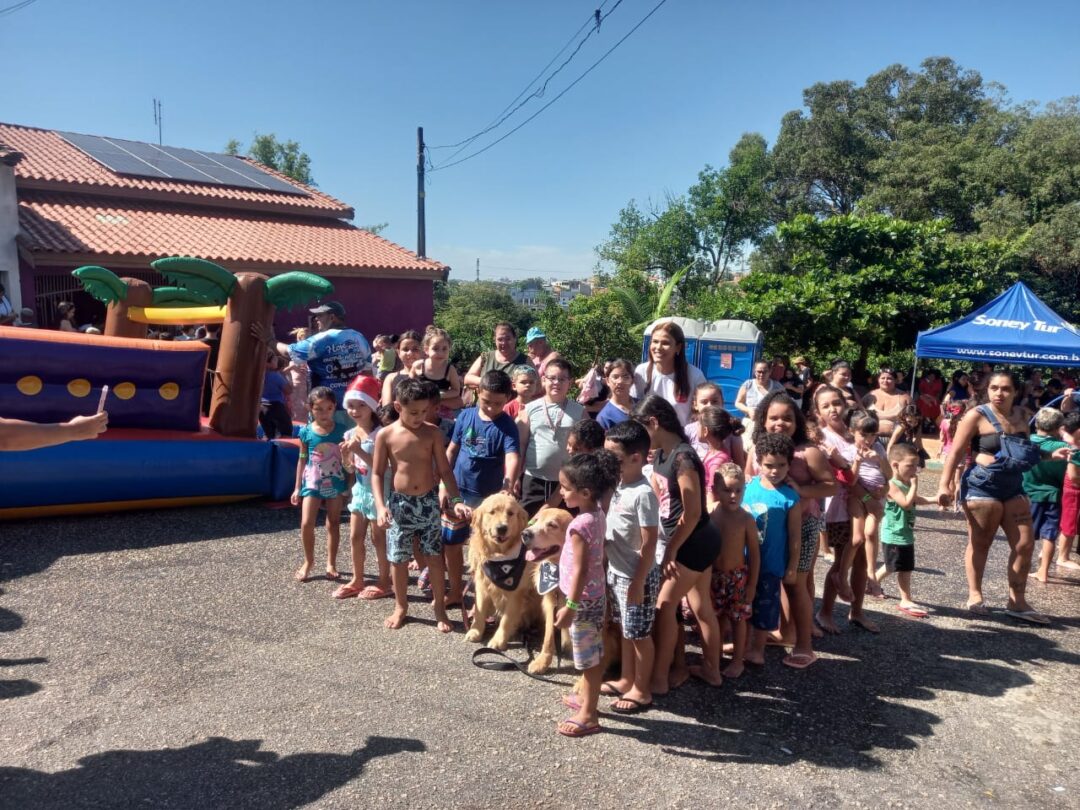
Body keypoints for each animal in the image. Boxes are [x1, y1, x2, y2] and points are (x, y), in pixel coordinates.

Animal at [463, 493, 571, 674]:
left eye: (510, 513)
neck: (501, 555)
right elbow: (479, 610)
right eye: (492, 512)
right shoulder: (482, 584)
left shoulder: (516, 592)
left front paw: (498, 640)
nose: (502, 528)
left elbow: (507, 619)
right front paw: (475, 631)